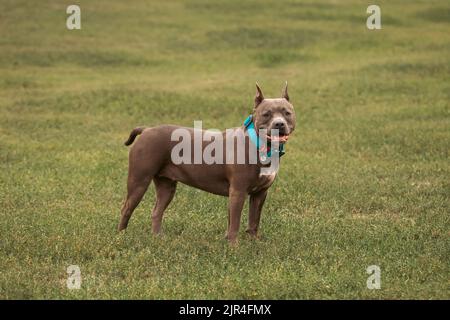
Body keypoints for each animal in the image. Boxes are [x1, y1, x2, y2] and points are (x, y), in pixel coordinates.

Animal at [118, 82, 298, 242]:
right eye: (266, 114)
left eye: (287, 113)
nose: (279, 123)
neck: (259, 145)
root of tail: (147, 130)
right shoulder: (238, 192)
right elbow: (235, 224)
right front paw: (234, 248)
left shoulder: (260, 194)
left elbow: (253, 222)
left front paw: (253, 244)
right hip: (139, 181)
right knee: (126, 208)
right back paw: (121, 237)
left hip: (166, 186)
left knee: (156, 211)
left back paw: (157, 238)